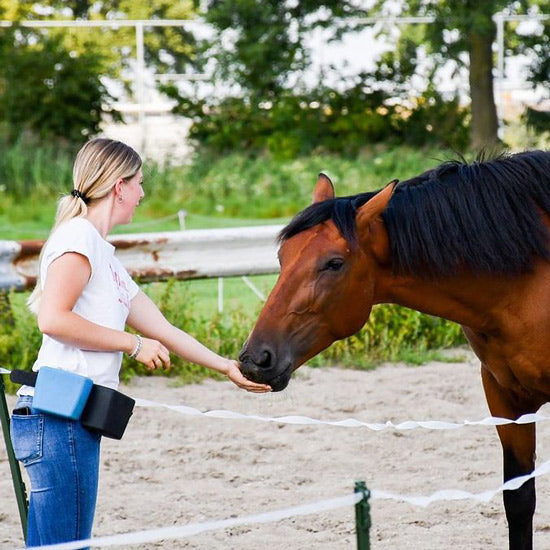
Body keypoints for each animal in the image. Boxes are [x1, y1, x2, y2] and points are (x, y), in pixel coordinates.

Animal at [243, 151, 550, 550]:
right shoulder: (506, 399)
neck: (527, 281)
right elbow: (519, 500)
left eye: (334, 263)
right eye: (283, 257)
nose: (255, 359)